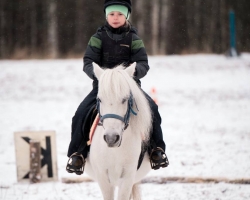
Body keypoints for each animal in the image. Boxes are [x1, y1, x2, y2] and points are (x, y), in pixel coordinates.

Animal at [85, 63, 152, 200]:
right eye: (100, 99)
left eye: (124, 99)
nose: (111, 138)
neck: (114, 151)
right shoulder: (103, 178)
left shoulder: (127, 177)